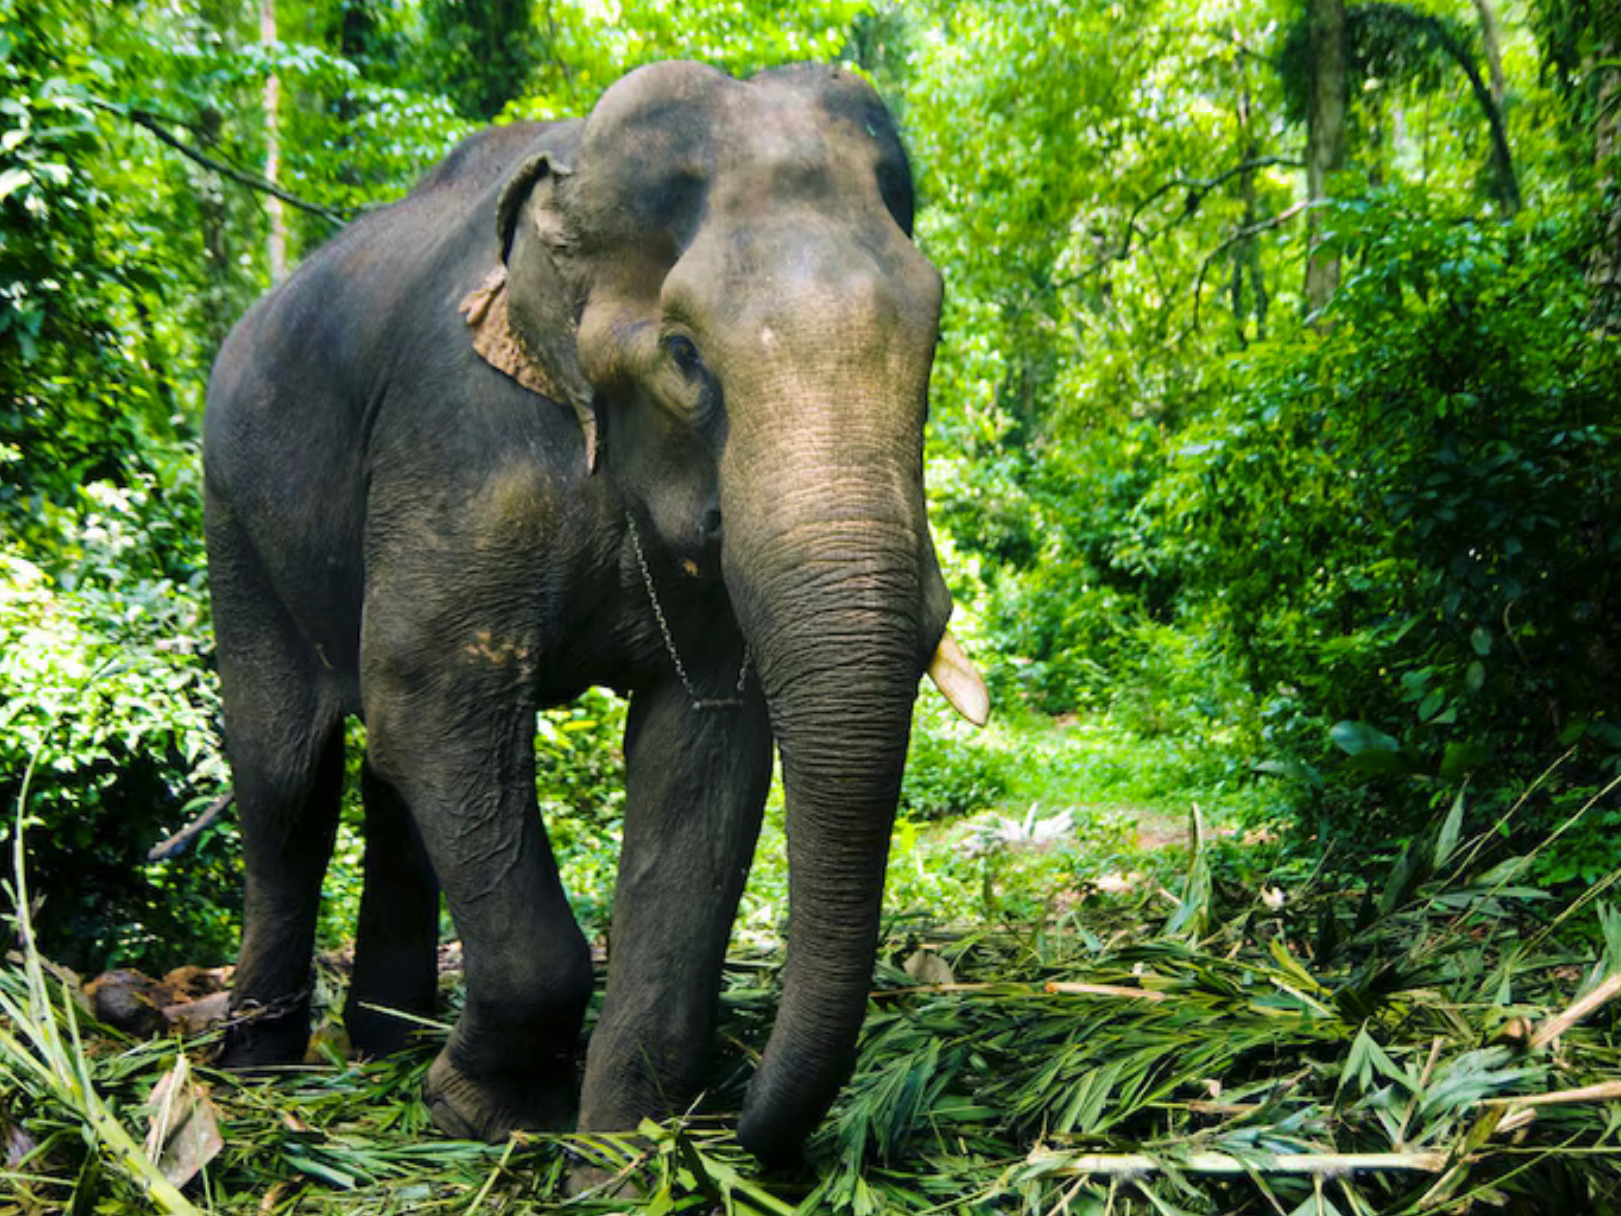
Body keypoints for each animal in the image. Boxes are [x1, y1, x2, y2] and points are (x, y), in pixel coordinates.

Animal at [203, 59, 988, 1162]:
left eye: (934, 336)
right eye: (685, 354)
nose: (744, 1123)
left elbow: (701, 752)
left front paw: (623, 1160)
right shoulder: (461, 439)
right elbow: (432, 694)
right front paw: (480, 1113)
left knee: (385, 774)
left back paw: (385, 1045)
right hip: (234, 513)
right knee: (288, 781)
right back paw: (259, 1077)